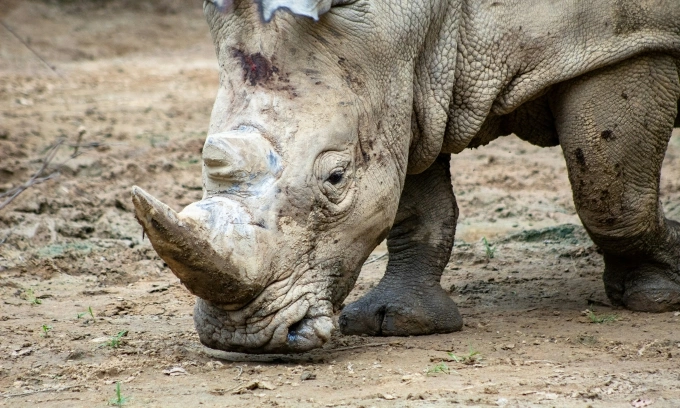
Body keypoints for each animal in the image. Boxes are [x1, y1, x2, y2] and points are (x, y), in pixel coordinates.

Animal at [132, 0, 680, 353]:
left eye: (336, 177)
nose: (240, 337)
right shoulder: (401, 84)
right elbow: (417, 208)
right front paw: (398, 323)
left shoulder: (623, 45)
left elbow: (608, 189)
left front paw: (658, 293)